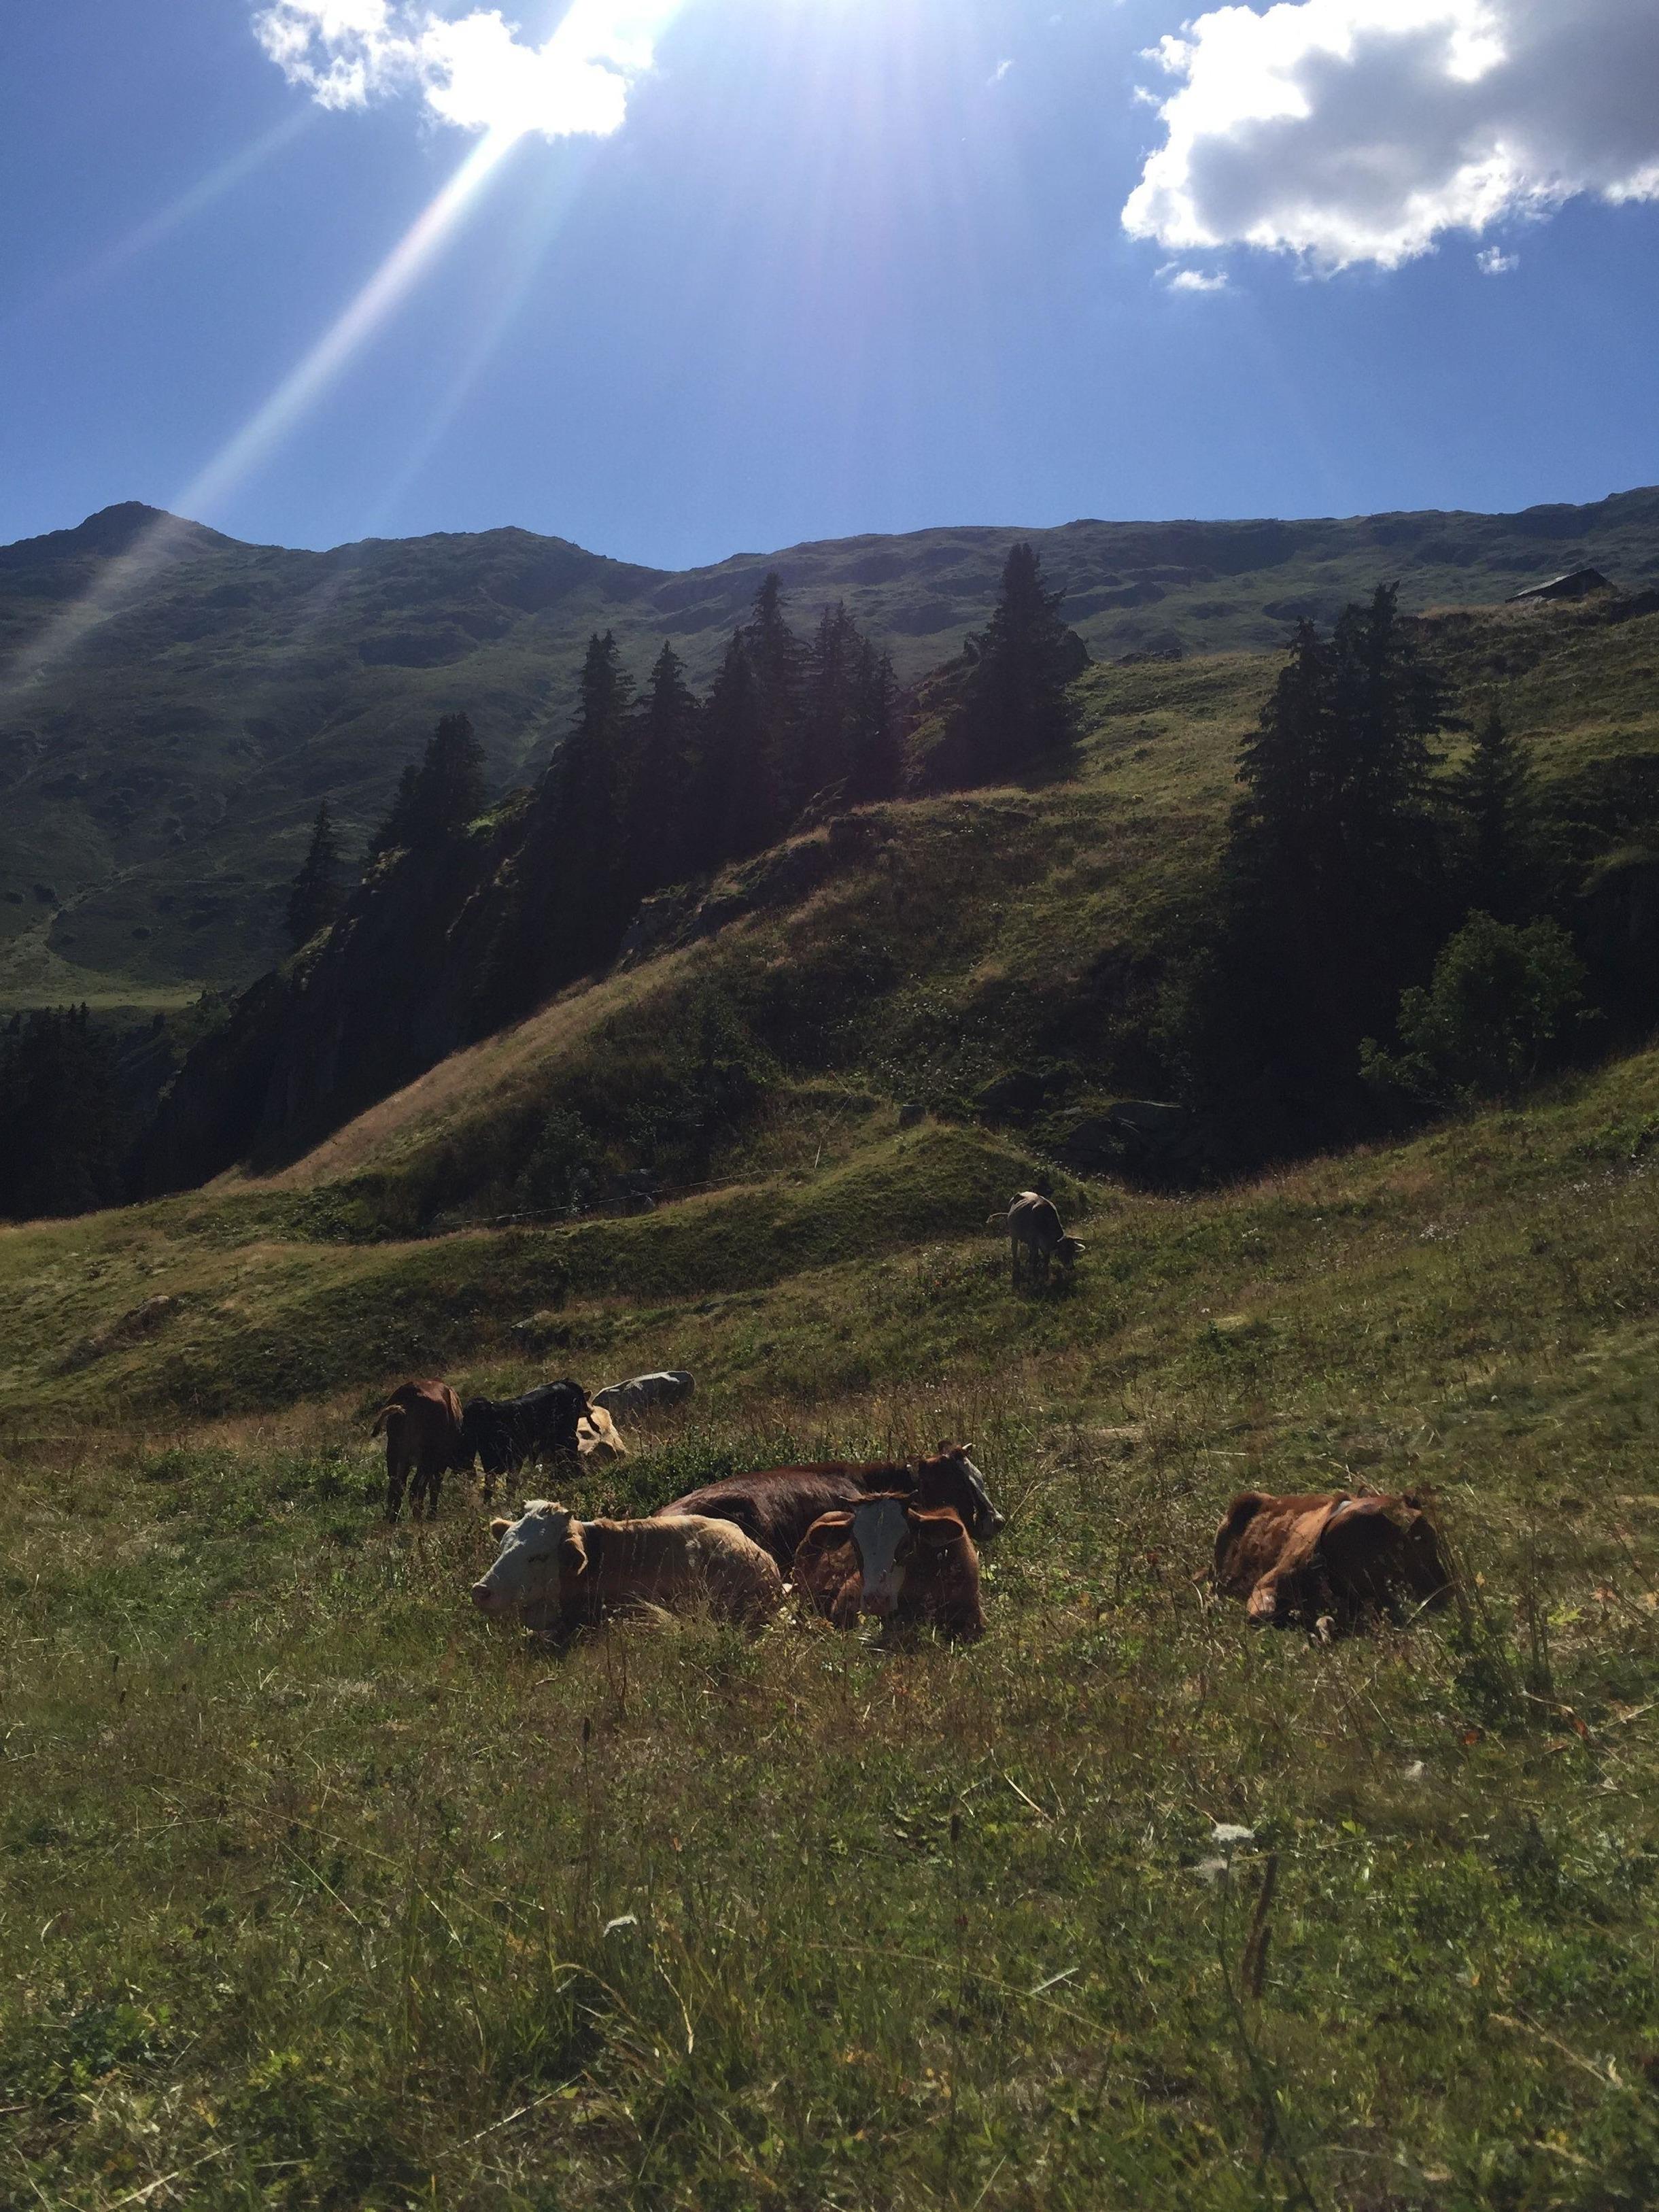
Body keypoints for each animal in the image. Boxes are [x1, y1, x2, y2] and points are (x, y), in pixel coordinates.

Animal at [370, 1379, 467, 1523]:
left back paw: (392, 1519)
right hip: (425, 1459)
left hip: (393, 1453)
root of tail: (411, 1392)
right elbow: (434, 1486)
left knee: (395, 1488)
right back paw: (419, 1519)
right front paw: (431, 1515)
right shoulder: (439, 1461)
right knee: (414, 1490)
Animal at [989, 1192, 1084, 1286]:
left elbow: (1046, 1259)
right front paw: (1035, 1277)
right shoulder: (1034, 1243)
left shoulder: (1043, 1245)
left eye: (1073, 1251)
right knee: (1015, 1250)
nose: (1071, 1267)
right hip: (1014, 1235)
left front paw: (1046, 1277)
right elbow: (1035, 1259)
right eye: (1064, 1251)